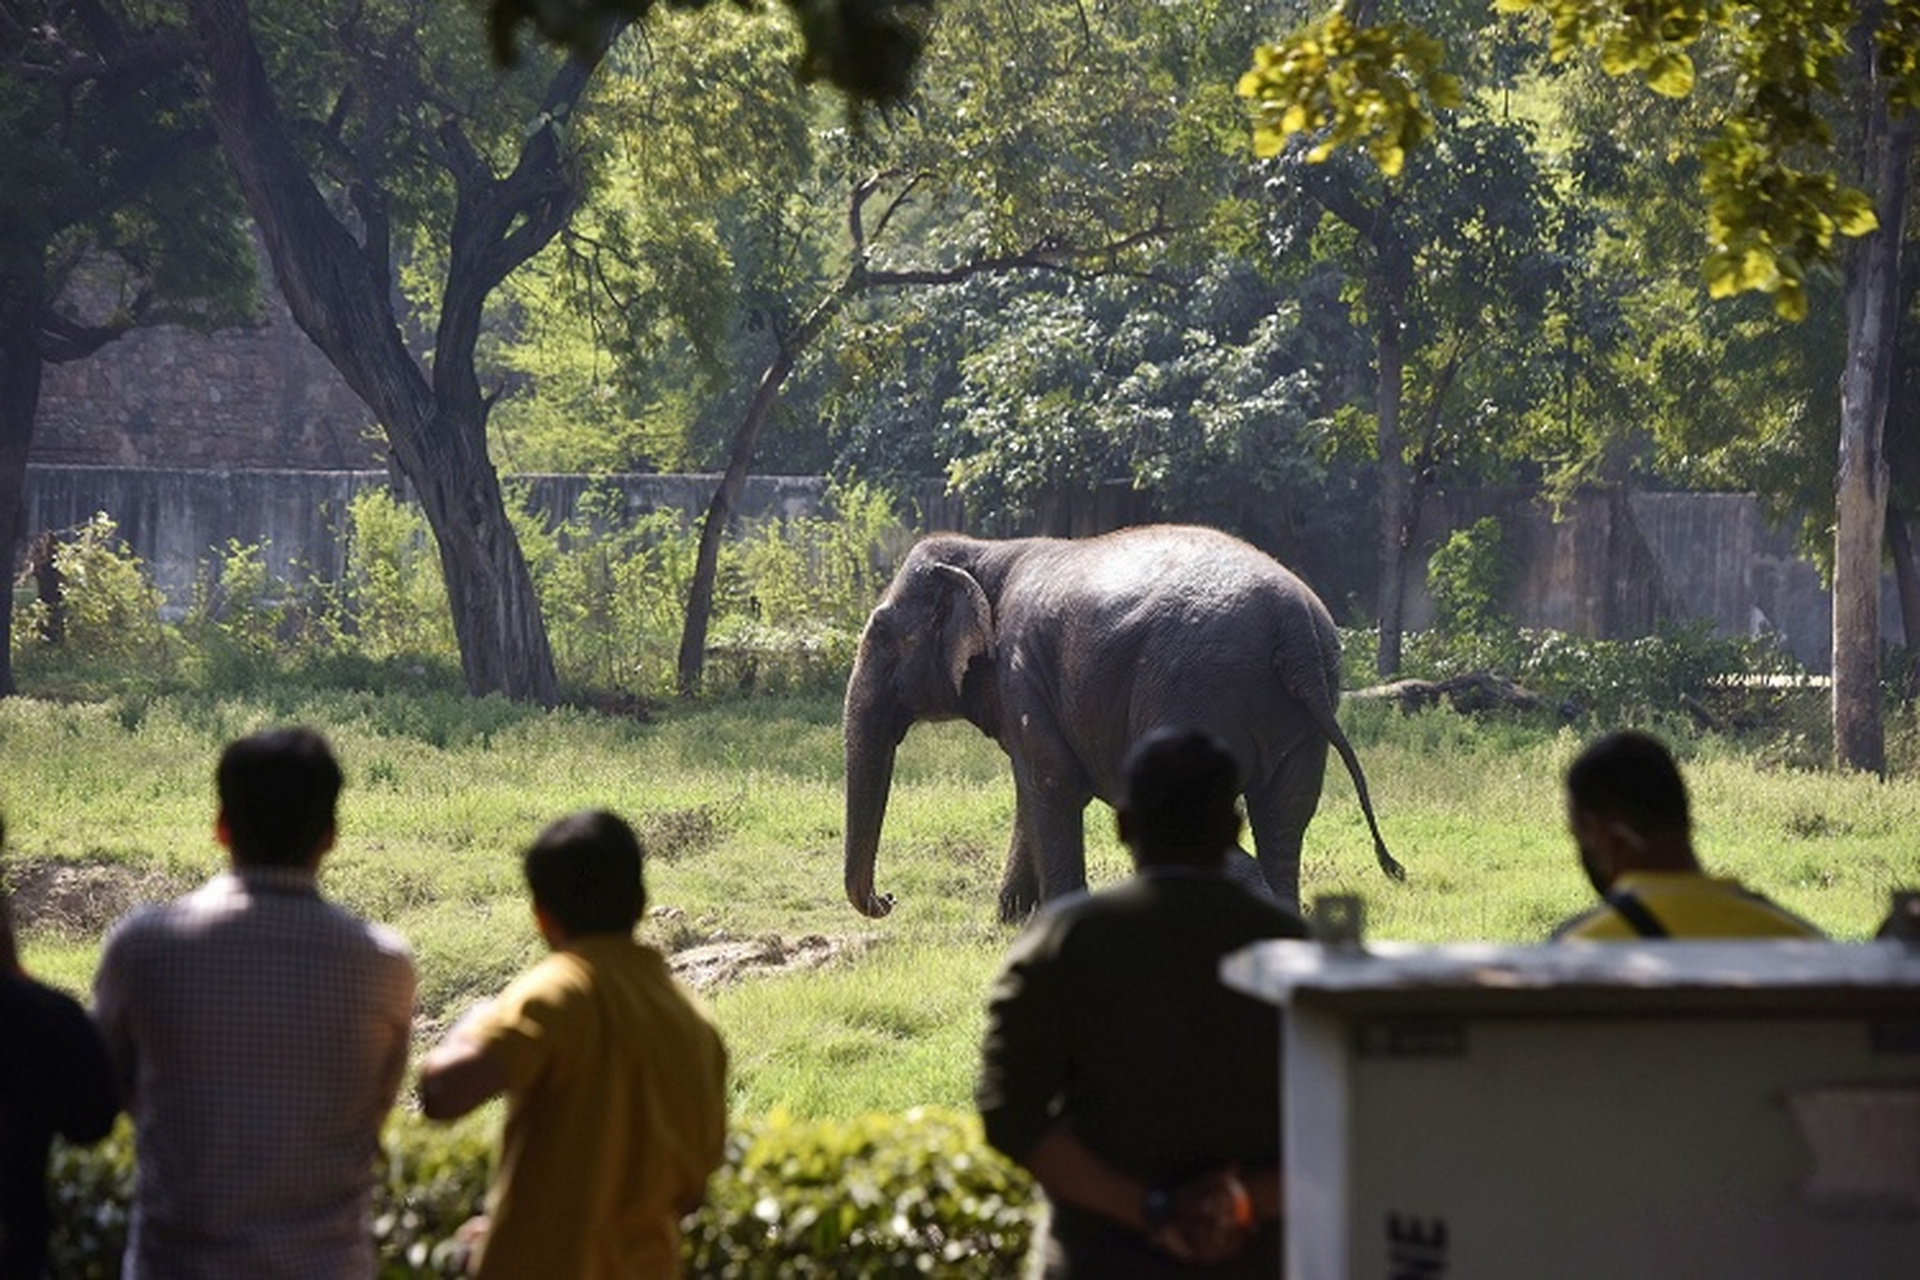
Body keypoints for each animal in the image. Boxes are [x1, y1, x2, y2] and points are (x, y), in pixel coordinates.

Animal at [837, 521, 1397, 921]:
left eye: (883, 633)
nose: (888, 899)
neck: (988, 551)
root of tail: (1293, 626)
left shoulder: (1020, 669)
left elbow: (1050, 784)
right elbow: (1031, 790)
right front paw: (1008, 922)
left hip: (1196, 690)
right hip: (1303, 715)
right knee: (1285, 817)